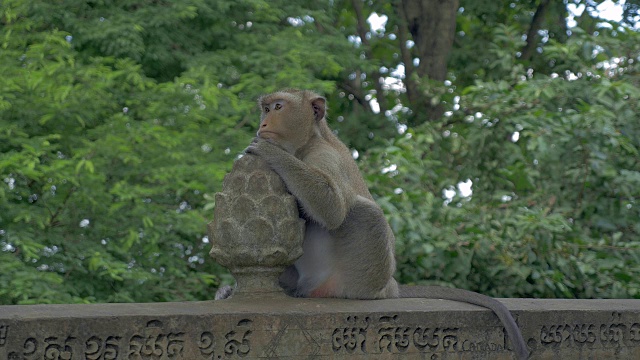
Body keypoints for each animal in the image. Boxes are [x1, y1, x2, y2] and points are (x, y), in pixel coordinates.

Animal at [218, 89, 528, 360]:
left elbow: (332, 207)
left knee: (364, 213)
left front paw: (270, 152)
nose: (263, 123)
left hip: (363, 275)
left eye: (279, 107)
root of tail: (388, 286)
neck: (307, 142)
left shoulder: (325, 156)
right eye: (266, 108)